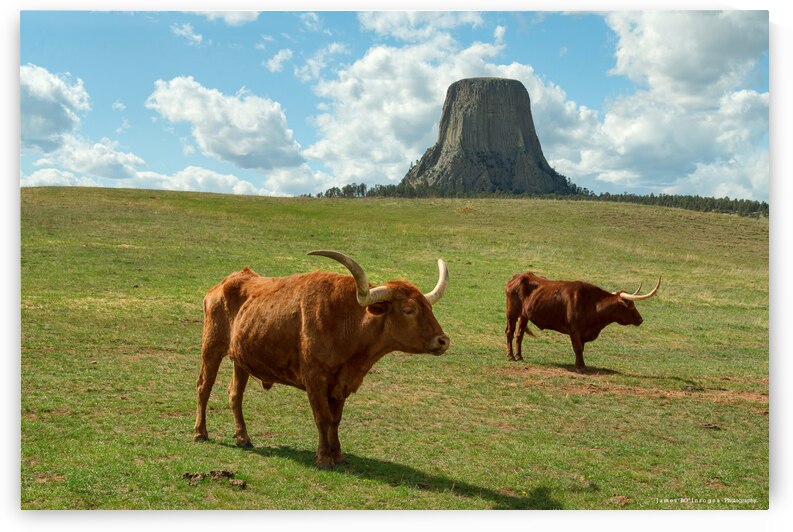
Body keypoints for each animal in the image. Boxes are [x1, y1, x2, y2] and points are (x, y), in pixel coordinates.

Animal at [194, 250, 450, 468]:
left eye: (428, 307)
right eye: (408, 310)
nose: (443, 340)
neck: (345, 320)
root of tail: (222, 284)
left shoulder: (341, 384)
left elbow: (335, 420)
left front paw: (338, 455)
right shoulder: (315, 380)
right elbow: (323, 418)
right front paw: (324, 458)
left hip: (241, 359)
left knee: (235, 395)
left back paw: (243, 437)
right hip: (211, 348)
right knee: (204, 387)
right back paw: (200, 433)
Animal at [505, 272, 660, 372]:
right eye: (631, 306)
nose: (640, 319)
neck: (592, 303)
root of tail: (518, 276)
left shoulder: (583, 333)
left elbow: (581, 349)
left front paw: (581, 364)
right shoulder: (574, 330)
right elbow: (578, 348)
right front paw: (579, 367)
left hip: (524, 315)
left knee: (519, 334)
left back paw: (519, 356)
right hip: (512, 313)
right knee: (510, 332)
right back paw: (510, 356)